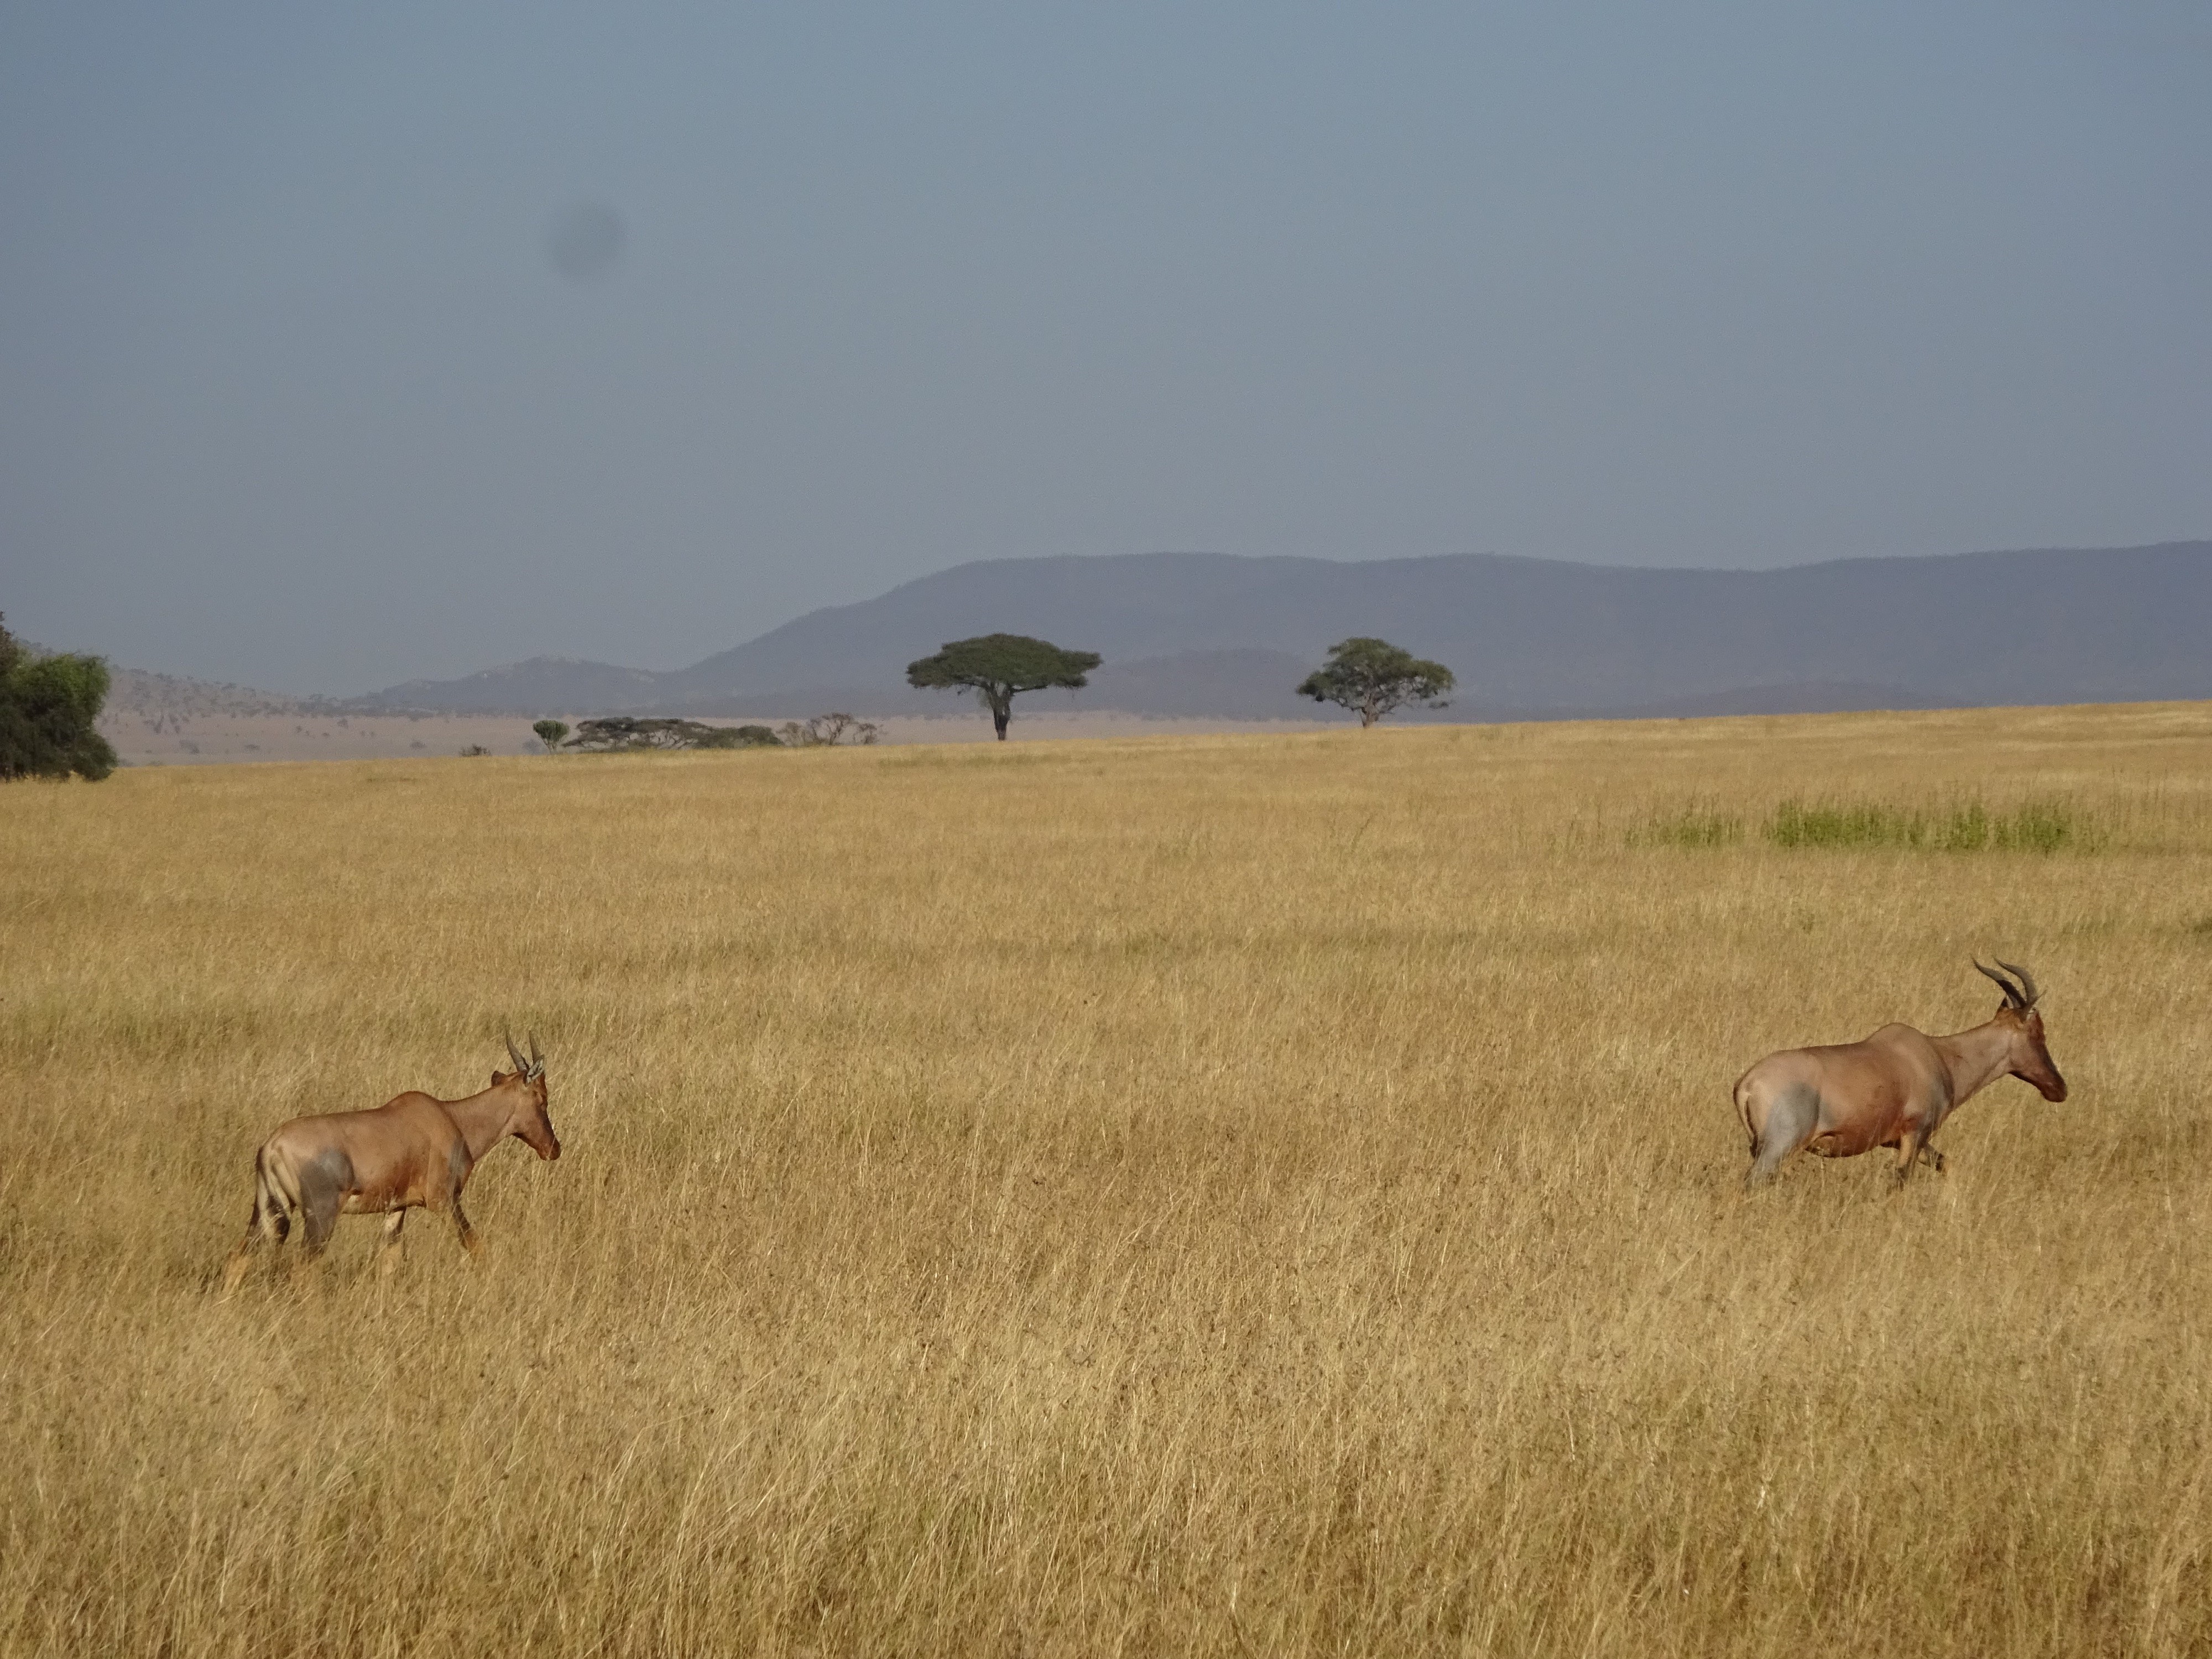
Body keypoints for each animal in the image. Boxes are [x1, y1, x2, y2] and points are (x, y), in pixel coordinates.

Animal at [221, 1035, 562, 1292]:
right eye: (542, 1096)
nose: (554, 1149)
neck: (450, 1118)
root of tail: (272, 1146)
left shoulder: (397, 1208)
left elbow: (389, 1263)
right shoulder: (445, 1202)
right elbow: (475, 1246)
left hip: (267, 1209)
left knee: (238, 1257)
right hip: (320, 1217)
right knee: (301, 1271)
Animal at [1734, 960, 2062, 1194]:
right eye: (2039, 1032)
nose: (2059, 1089)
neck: (1936, 1053)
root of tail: (1748, 1084)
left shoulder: (1899, 1141)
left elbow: (1946, 1165)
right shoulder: (1915, 1134)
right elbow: (1901, 1183)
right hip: (1778, 1148)